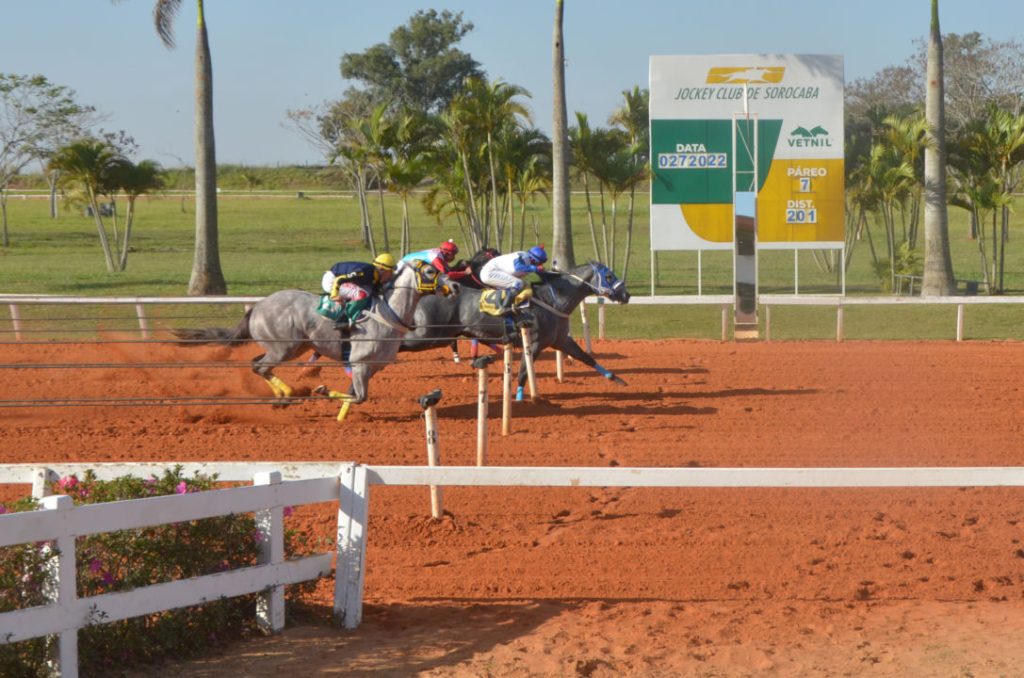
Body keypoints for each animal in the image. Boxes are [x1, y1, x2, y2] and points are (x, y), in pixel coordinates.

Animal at [173, 262, 456, 421]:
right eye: (430, 270)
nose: (454, 286)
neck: (388, 314)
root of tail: (256, 307)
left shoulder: (371, 367)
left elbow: (354, 396)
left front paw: (341, 418)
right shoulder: (360, 363)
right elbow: (359, 396)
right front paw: (320, 389)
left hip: (294, 347)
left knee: (256, 364)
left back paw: (280, 398)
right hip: (284, 347)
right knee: (261, 366)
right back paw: (287, 395)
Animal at [401, 260, 626, 399]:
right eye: (608, 276)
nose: (626, 294)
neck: (552, 300)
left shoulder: (560, 340)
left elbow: (587, 358)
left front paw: (617, 379)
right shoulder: (534, 342)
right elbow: (524, 372)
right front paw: (520, 397)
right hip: (428, 335)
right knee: (402, 342)